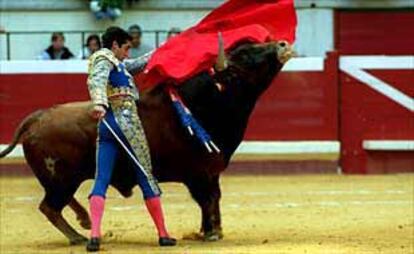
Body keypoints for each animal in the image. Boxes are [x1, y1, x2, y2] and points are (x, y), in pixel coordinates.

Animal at [0, 39, 292, 244]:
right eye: (244, 55)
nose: (282, 44)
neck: (206, 102)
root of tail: (37, 117)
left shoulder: (210, 172)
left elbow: (212, 199)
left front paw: (210, 230)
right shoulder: (201, 173)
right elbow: (208, 199)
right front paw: (211, 233)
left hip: (62, 180)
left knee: (57, 202)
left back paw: (84, 221)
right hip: (62, 179)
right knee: (49, 207)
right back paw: (78, 236)